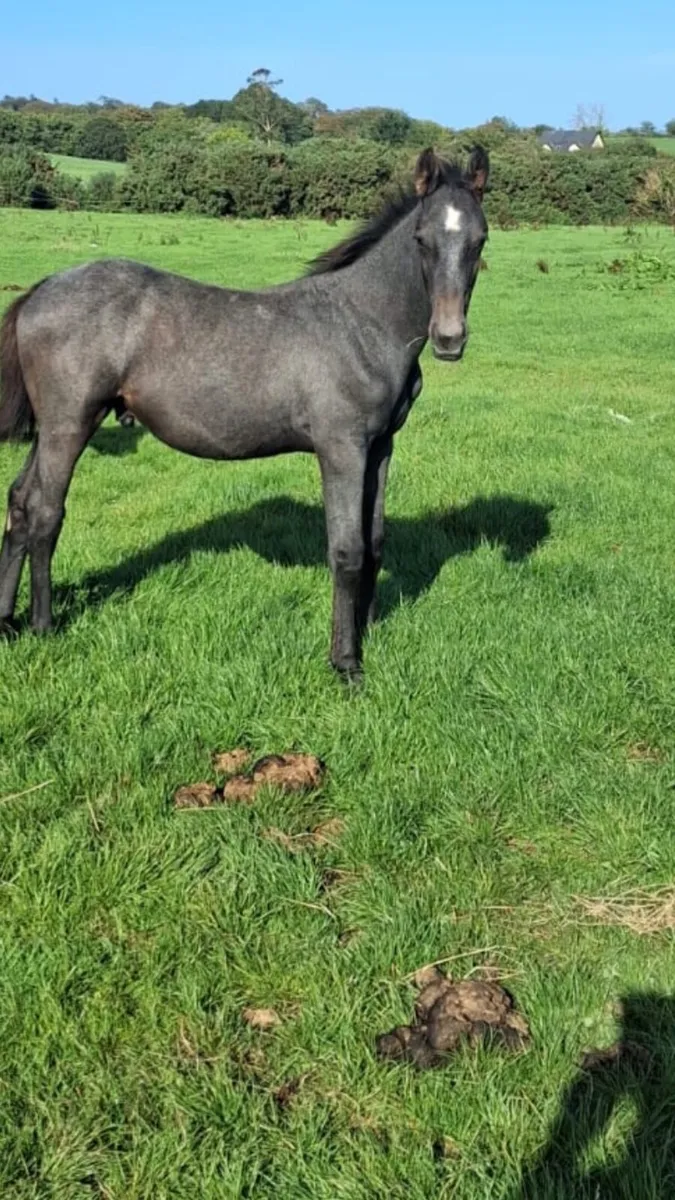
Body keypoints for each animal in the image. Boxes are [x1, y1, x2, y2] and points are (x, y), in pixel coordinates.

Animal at [0, 147, 489, 679]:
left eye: (480, 239)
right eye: (422, 239)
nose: (449, 339)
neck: (363, 324)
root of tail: (42, 288)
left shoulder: (380, 447)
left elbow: (375, 541)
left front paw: (367, 629)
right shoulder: (341, 448)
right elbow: (348, 550)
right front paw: (345, 662)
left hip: (52, 430)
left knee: (20, 501)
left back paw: (5, 620)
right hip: (70, 424)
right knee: (46, 512)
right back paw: (42, 624)